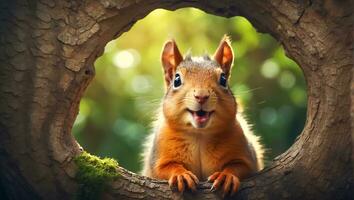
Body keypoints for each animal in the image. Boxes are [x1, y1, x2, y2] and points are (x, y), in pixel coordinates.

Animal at [142, 35, 264, 196]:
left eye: (223, 79)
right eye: (177, 80)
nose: (201, 96)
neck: (199, 134)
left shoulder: (245, 152)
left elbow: (240, 166)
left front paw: (226, 176)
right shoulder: (159, 156)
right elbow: (165, 168)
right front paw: (181, 174)